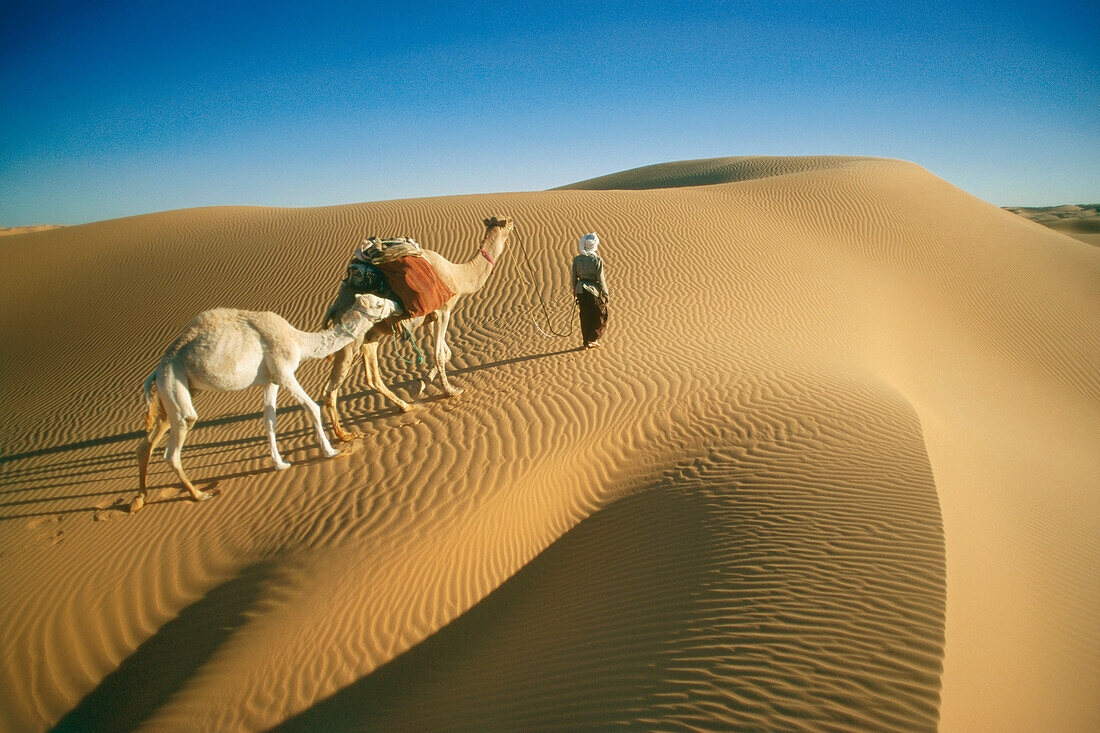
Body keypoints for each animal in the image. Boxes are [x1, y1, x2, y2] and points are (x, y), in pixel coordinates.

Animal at [133, 290, 398, 508]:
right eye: (378, 302)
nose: (395, 304)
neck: (299, 341)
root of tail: (156, 370)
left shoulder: (271, 380)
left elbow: (269, 420)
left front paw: (280, 464)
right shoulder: (284, 371)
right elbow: (311, 407)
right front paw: (331, 451)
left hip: (175, 389)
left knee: (150, 440)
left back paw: (140, 499)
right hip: (173, 381)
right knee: (175, 445)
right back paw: (199, 494)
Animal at [321, 212, 514, 440]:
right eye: (507, 222)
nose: (513, 222)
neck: (458, 276)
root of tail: (335, 307)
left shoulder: (430, 318)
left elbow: (446, 353)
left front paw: (418, 387)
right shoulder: (443, 311)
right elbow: (439, 354)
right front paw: (450, 391)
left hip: (369, 337)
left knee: (371, 377)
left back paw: (405, 406)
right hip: (350, 339)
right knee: (330, 390)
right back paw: (343, 435)